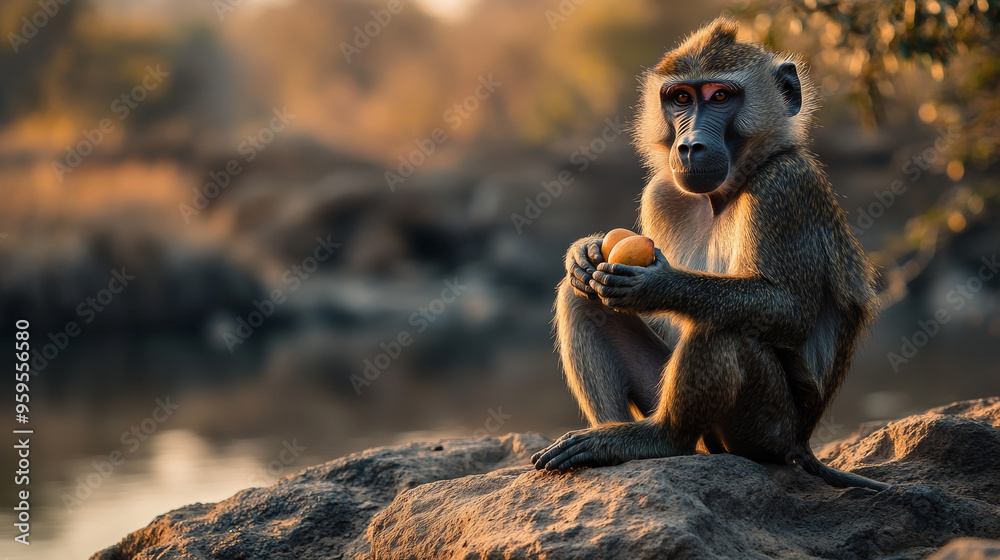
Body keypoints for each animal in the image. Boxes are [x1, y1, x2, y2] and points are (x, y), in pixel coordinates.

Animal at [530, 17, 887, 491]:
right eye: (681, 98)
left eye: (720, 96)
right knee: (582, 298)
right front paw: (583, 253)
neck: (728, 190)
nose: (689, 146)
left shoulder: (784, 185)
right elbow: (610, 292)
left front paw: (659, 285)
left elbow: (789, 310)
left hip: (768, 429)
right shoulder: (662, 192)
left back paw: (659, 439)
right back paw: (611, 439)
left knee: (723, 324)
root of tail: (801, 444)